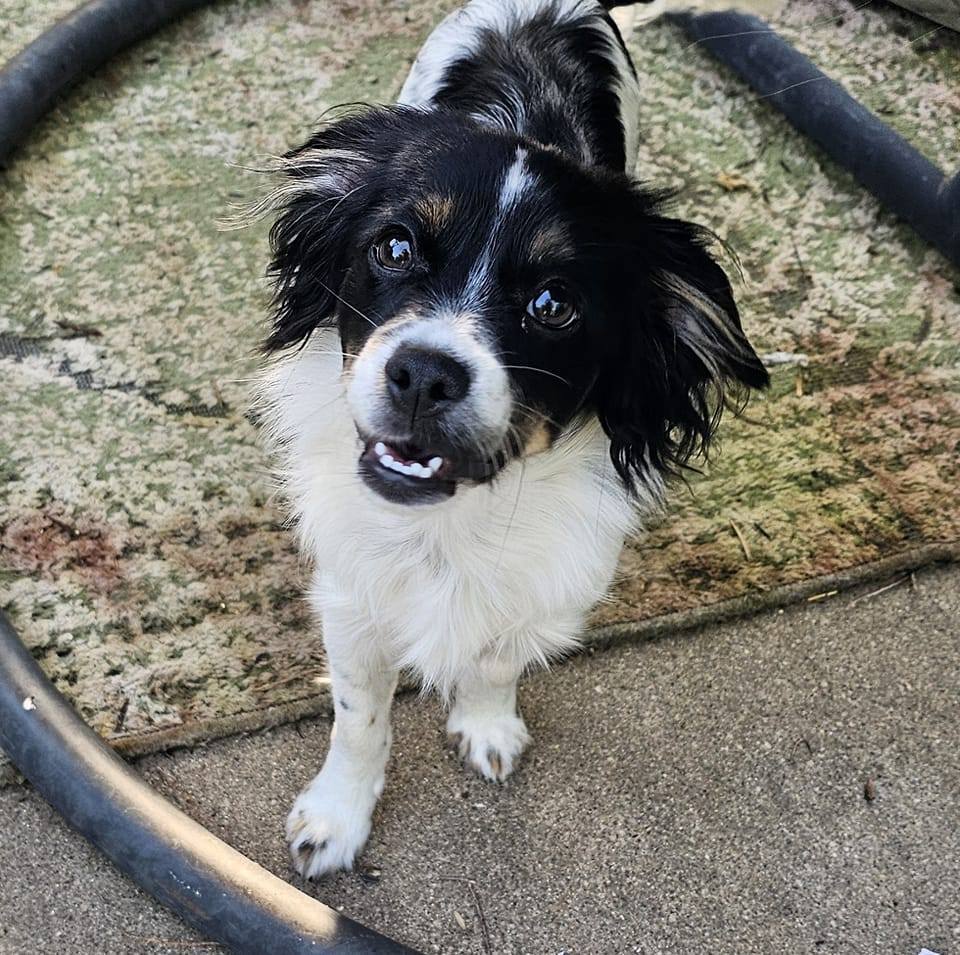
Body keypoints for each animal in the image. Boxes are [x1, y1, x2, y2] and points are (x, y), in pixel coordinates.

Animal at [258, 0, 768, 880]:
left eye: (553, 304)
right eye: (393, 247)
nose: (424, 374)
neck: (450, 519)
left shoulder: (542, 583)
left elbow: (495, 656)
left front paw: (486, 724)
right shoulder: (352, 593)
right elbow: (359, 716)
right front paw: (338, 817)